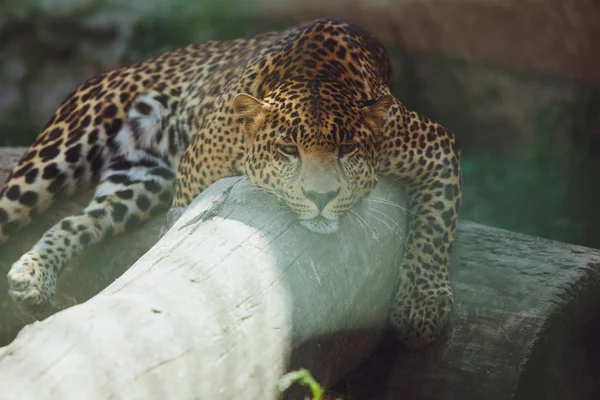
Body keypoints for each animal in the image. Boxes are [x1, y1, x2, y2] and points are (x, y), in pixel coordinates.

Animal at [0, 18, 460, 350]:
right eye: (288, 149)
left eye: (347, 149)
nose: (322, 196)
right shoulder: (190, 183)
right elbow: (175, 242)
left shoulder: (436, 147)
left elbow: (436, 227)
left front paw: (422, 305)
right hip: (60, 149)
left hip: (137, 180)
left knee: (76, 222)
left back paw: (34, 274)